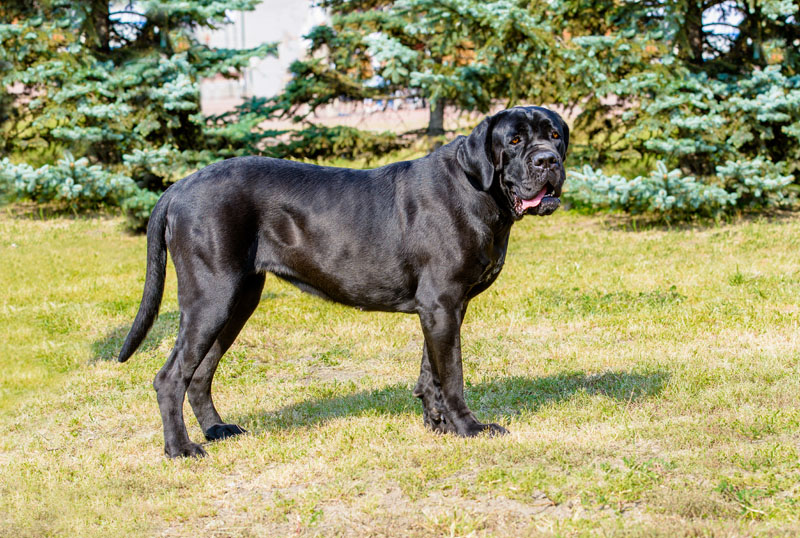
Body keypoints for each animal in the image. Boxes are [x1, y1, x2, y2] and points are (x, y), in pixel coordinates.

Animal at [119, 105, 568, 456]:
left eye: (554, 135)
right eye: (513, 141)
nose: (547, 161)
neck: (479, 189)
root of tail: (178, 186)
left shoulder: (439, 307)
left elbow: (430, 371)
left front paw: (437, 425)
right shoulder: (443, 303)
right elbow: (452, 374)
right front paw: (469, 428)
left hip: (237, 301)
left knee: (200, 373)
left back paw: (217, 430)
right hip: (211, 298)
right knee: (170, 377)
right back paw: (180, 449)